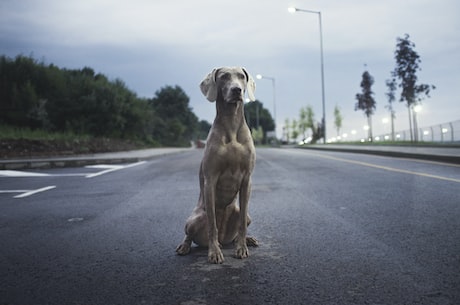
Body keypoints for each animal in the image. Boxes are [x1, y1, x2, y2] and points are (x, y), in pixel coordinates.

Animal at [176, 67, 258, 262]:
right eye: (224, 77)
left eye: (242, 77)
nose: (237, 90)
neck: (232, 125)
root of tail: (224, 239)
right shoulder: (210, 180)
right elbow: (212, 223)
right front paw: (214, 253)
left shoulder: (247, 180)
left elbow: (242, 223)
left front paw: (241, 248)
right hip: (194, 219)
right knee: (190, 234)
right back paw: (185, 246)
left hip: (243, 215)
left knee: (241, 223)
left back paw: (247, 240)